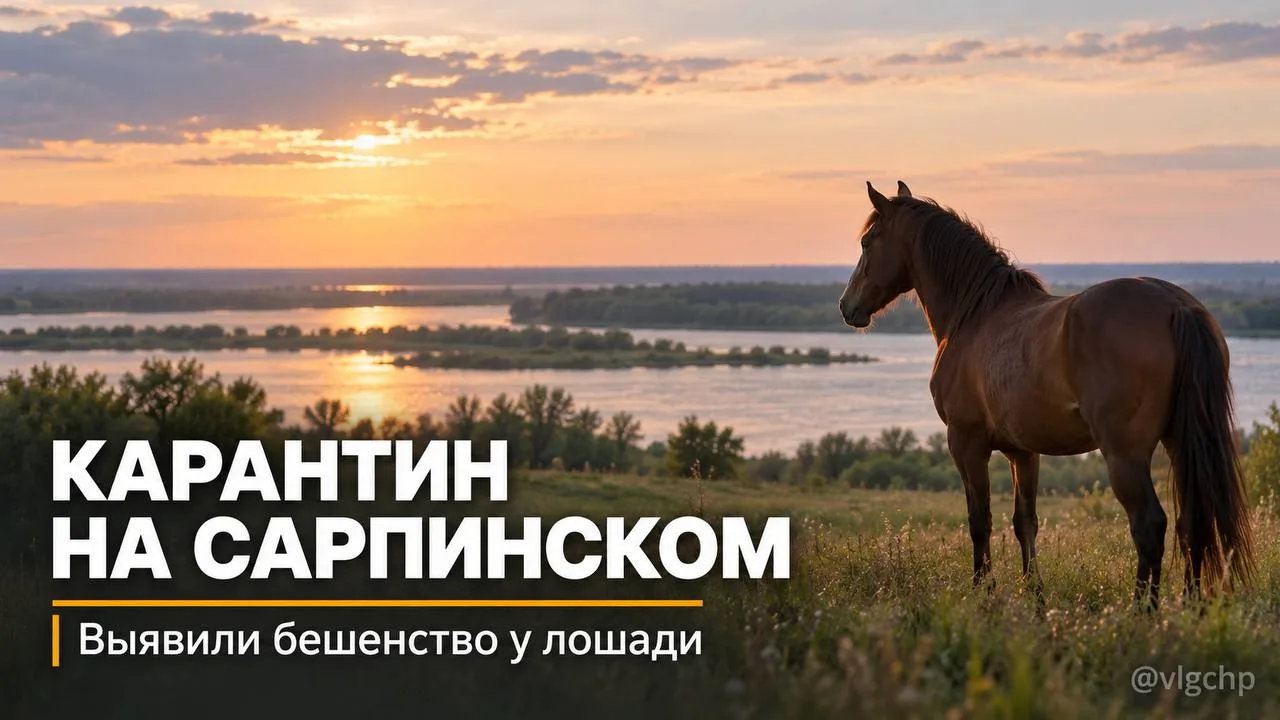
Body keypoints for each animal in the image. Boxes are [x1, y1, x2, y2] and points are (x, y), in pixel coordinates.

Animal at [837, 180, 1256, 608]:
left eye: (868, 241)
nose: (846, 306)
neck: (974, 316)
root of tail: (1177, 307)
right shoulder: (1024, 451)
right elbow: (1025, 522)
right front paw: (1034, 597)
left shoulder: (966, 442)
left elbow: (979, 520)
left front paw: (983, 592)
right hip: (1178, 441)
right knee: (1192, 522)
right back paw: (1191, 606)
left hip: (1125, 453)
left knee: (1149, 525)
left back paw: (1144, 609)